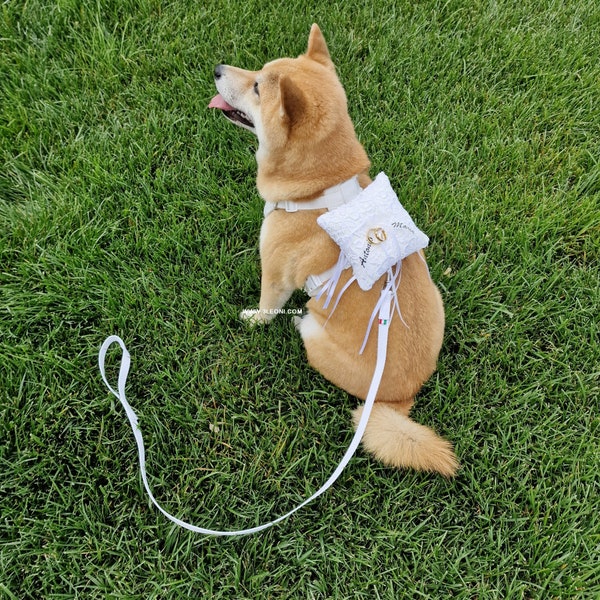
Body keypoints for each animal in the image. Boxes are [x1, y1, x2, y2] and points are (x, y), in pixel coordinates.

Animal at [209, 24, 458, 478]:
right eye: (257, 72)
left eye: (257, 87)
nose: (217, 68)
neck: (318, 189)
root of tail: (402, 399)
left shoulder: (275, 275)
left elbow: (265, 306)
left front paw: (253, 320)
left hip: (314, 333)